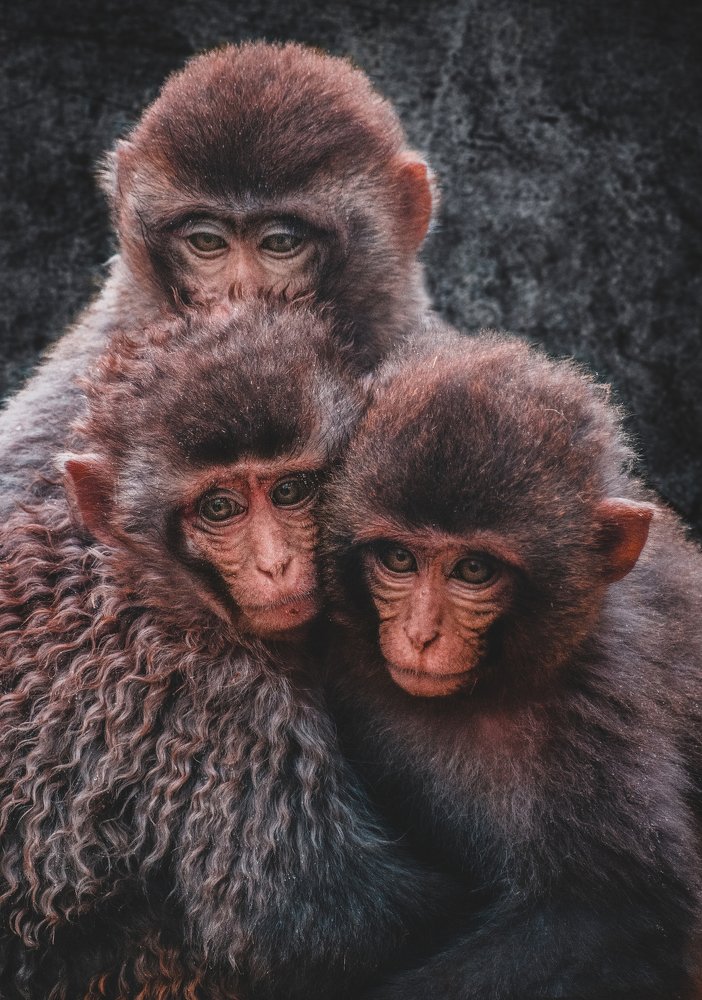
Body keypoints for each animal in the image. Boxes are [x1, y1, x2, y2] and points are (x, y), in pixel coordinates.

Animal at [0, 301, 451, 1000]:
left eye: (290, 492)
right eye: (219, 507)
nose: (274, 565)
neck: (150, 579)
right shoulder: (229, 702)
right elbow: (322, 928)